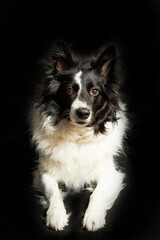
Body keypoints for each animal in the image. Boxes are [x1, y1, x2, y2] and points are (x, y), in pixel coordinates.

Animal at [29, 40, 129, 232]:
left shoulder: (110, 172)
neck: (78, 136)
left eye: (95, 91)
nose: (82, 113)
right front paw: (56, 214)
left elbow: (98, 193)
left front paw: (93, 216)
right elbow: (53, 191)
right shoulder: (43, 172)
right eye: (69, 90)